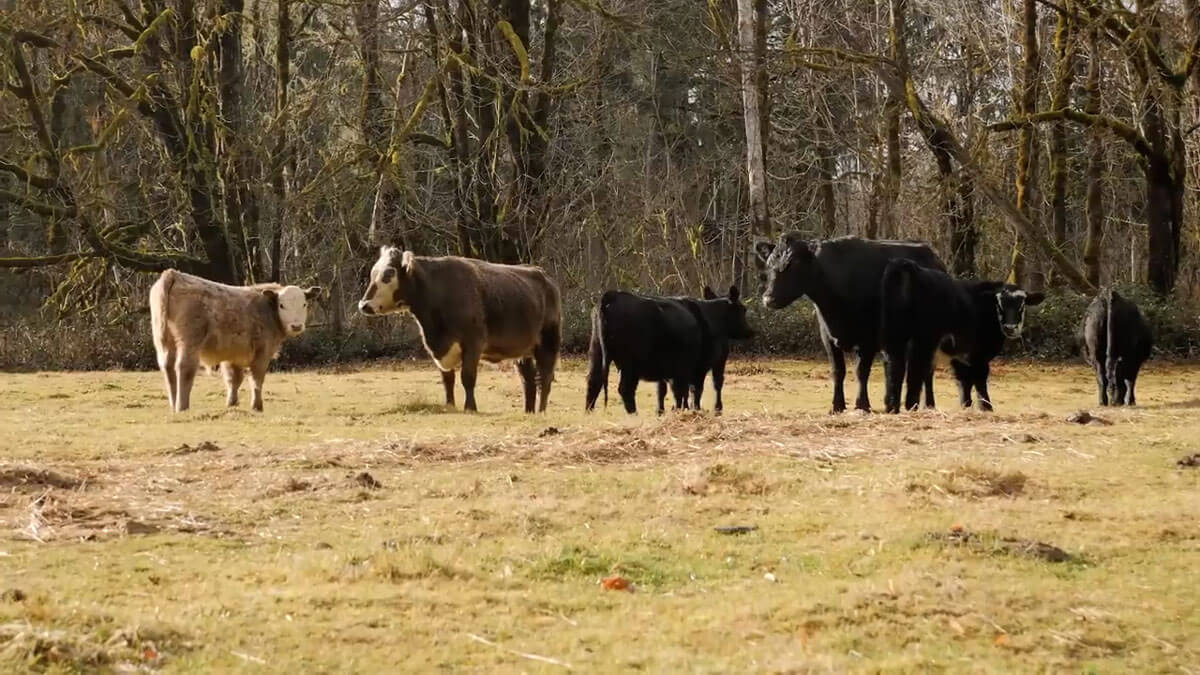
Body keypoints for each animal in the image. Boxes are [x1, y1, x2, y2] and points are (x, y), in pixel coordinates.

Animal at [147, 267, 321, 410]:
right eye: (282, 305)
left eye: (304, 304)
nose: (296, 326)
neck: (266, 309)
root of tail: (173, 274)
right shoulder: (262, 352)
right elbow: (256, 379)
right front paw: (256, 406)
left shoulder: (233, 355)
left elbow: (234, 379)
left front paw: (232, 403)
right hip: (189, 342)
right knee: (185, 367)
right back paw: (182, 406)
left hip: (164, 341)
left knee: (167, 367)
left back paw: (173, 404)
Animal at [580, 282, 748, 413]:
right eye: (743, 309)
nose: (750, 331)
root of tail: (612, 295)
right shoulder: (701, 365)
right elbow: (697, 389)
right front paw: (699, 409)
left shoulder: (674, 369)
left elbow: (671, 391)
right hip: (631, 363)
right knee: (625, 389)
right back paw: (634, 414)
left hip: (596, 351)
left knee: (593, 381)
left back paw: (589, 412)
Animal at [753, 233, 950, 410]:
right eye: (770, 265)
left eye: (793, 264)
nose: (768, 298)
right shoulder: (827, 335)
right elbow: (837, 370)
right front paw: (837, 406)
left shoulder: (869, 338)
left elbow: (861, 371)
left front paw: (862, 404)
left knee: (927, 369)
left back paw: (928, 404)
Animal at [878, 257, 1046, 413]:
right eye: (999, 304)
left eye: (1022, 304)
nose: (1010, 327)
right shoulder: (978, 353)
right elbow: (978, 377)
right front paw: (986, 407)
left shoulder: (958, 355)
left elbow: (963, 380)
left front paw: (966, 405)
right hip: (922, 341)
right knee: (915, 369)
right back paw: (911, 405)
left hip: (894, 337)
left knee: (895, 367)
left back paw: (894, 406)